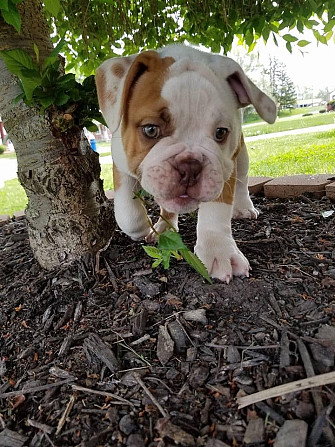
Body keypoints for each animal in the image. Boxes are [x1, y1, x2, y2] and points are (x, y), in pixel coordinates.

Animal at [96, 46, 276, 284]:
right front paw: (142, 227)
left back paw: (244, 207)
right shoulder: (121, 162)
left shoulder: (224, 170)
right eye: (150, 129)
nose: (190, 166)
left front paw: (218, 250)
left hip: (242, 156)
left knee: (242, 181)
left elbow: (217, 211)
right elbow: (127, 212)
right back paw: (165, 225)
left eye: (221, 133)